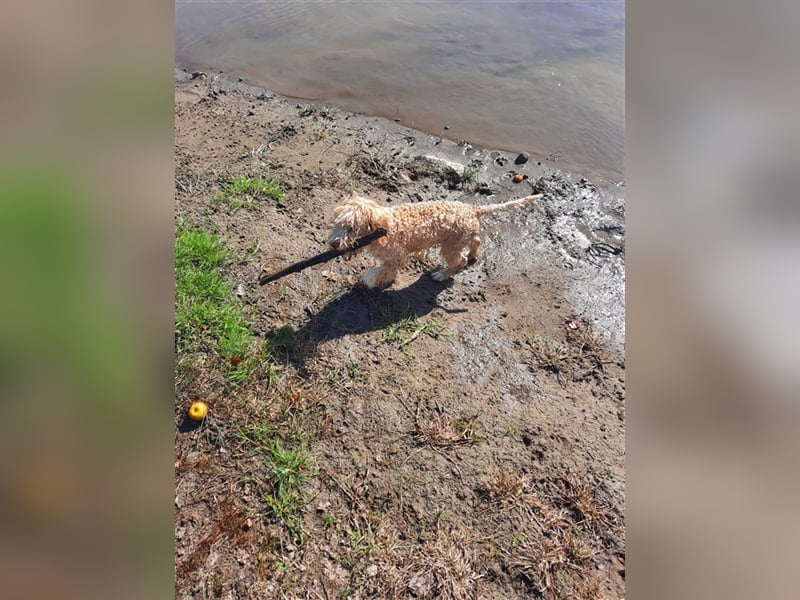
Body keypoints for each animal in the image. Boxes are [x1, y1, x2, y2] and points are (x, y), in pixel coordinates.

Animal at [326, 191, 544, 288]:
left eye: (352, 228)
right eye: (336, 222)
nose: (333, 243)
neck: (383, 229)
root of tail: (472, 209)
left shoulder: (398, 257)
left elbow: (383, 270)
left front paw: (373, 279)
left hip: (450, 246)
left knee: (460, 261)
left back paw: (443, 274)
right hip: (462, 237)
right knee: (476, 242)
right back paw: (473, 254)